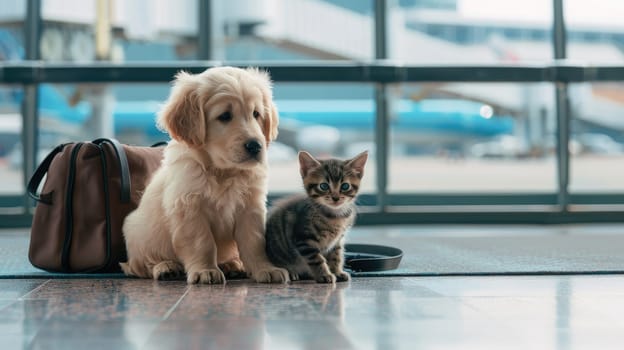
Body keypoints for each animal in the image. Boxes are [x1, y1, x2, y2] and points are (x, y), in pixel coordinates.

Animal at [121, 65, 290, 284]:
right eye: (225, 116)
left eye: (256, 114)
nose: (255, 146)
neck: (223, 171)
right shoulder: (189, 206)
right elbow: (202, 243)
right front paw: (205, 270)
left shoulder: (251, 206)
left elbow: (255, 241)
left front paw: (265, 269)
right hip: (137, 232)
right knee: (140, 265)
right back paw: (166, 267)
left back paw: (232, 265)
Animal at [262, 149, 366, 284]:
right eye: (324, 186)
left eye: (345, 186)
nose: (335, 198)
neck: (334, 216)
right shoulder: (304, 240)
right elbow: (317, 259)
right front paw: (325, 275)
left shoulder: (337, 241)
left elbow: (336, 257)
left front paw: (337, 272)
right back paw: (292, 273)